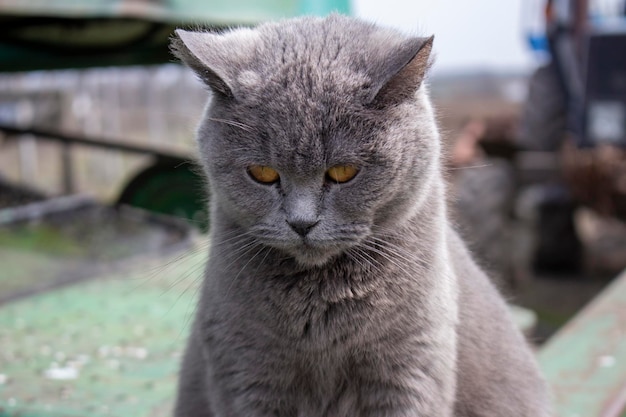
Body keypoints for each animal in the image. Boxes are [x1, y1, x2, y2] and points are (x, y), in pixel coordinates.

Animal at [168, 14, 548, 416]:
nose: (301, 223)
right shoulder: (245, 368)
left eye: (344, 172)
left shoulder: (410, 366)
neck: (320, 306)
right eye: (263, 173)